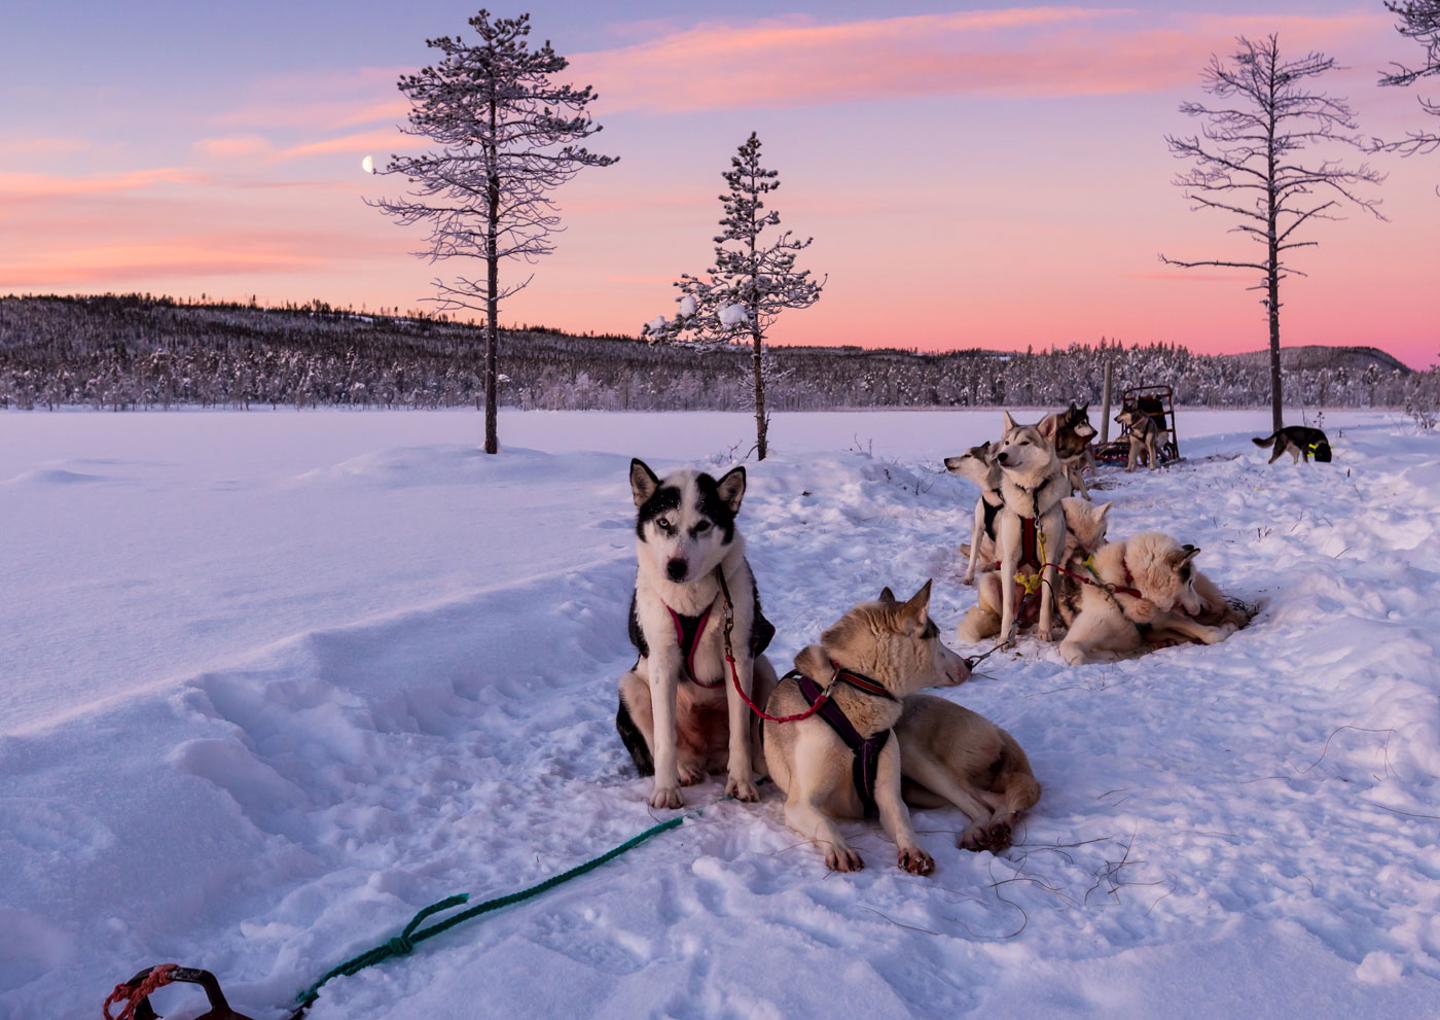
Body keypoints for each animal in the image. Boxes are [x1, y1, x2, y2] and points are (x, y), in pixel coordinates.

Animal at [616, 461, 783, 806]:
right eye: (664, 522)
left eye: (703, 525)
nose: (675, 567)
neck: (690, 599)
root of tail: (707, 757)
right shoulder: (662, 660)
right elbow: (664, 738)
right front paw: (666, 790)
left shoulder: (739, 655)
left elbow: (740, 733)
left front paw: (741, 783)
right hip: (630, 686)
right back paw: (682, 771)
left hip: (762, 667)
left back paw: (759, 768)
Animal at [766, 584, 967, 870]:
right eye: (937, 637)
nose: (969, 663)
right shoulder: (799, 804)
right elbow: (825, 822)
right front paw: (840, 849)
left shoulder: (888, 795)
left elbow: (902, 819)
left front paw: (914, 850)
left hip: (924, 765)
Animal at [1059, 530, 1238, 665]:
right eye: (1189, 582)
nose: (1200, 607)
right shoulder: (1075, 638)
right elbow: (1077, 656)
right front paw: (1109, 655)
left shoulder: (1163, 617)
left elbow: (1210, 634)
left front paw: (1225, 629)